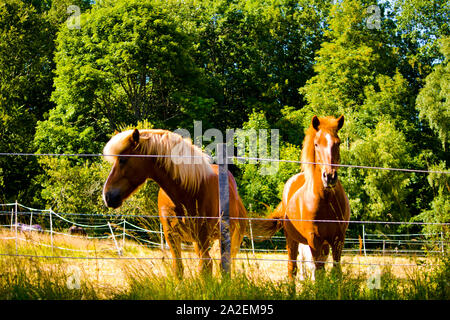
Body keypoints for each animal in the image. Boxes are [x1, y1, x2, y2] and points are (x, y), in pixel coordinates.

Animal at [102, 129, 248, 276]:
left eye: (122, 160)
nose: (107, 196)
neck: (188, 191)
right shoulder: (171, 235)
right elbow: (178, 268)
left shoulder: (203, 235)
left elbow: (204, 268)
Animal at [255, 115, 350, 280]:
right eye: (316, 144)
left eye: (338, 143)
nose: (329, 177)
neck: (325, 201)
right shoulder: (314, 240)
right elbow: (319, 273)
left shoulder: (338, 238)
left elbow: (336, 272)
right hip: (292, 240)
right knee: (292, 268)